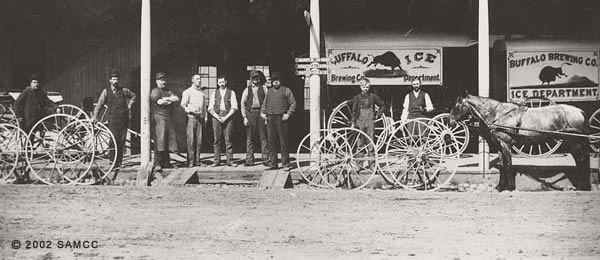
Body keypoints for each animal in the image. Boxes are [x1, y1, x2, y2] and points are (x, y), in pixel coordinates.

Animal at [448, 93, 588, 191]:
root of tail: (579, 111)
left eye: (457, 105)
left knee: (581, 160)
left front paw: (510, 187)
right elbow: (502, 166)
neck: (499, 114)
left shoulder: (506, 144)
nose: (450, 121)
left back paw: (582, 185)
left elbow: (509, 165)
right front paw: (500, 186)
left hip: (575, 142)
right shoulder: (499, 145)